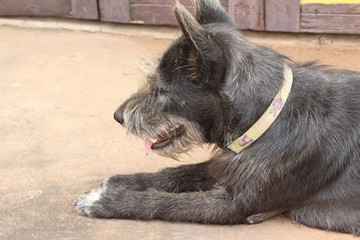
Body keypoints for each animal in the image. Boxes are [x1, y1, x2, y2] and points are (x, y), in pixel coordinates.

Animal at [74, 0, 360, 233]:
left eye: (161, 90)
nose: (117, 116)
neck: (267, 118)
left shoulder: (232, 205)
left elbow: (168, 202)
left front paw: (104, 201)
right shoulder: (224, 165)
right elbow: (176, 174)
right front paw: (122, 181)